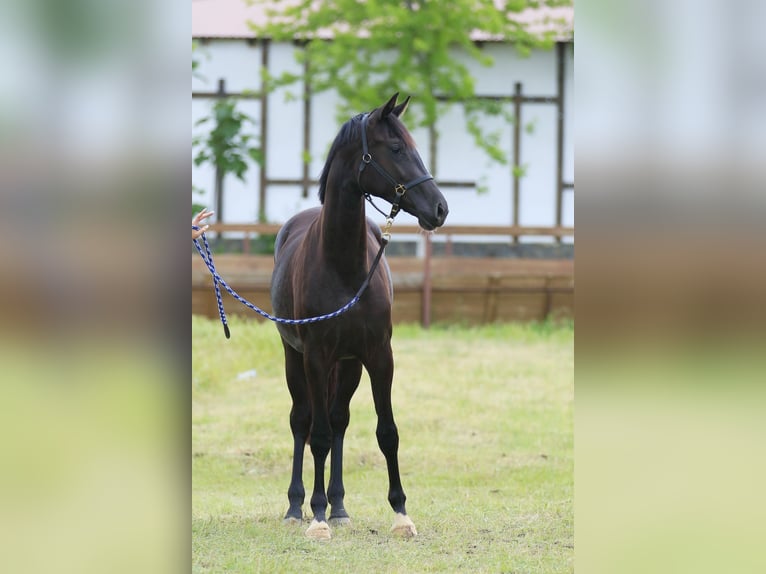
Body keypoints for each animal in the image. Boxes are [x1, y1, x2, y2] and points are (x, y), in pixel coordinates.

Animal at [270, 93, 450, 540]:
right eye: (397, 148)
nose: (440, 208)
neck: (344, 266)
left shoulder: (378, 355)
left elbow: (387, 432)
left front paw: (401, 513)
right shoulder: (317, 357)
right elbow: (316, 435)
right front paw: (317, 519)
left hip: (349, 365)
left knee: (339, 421)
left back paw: (338, 506)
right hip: (294, 358)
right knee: (302, 420)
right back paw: (299, 506)